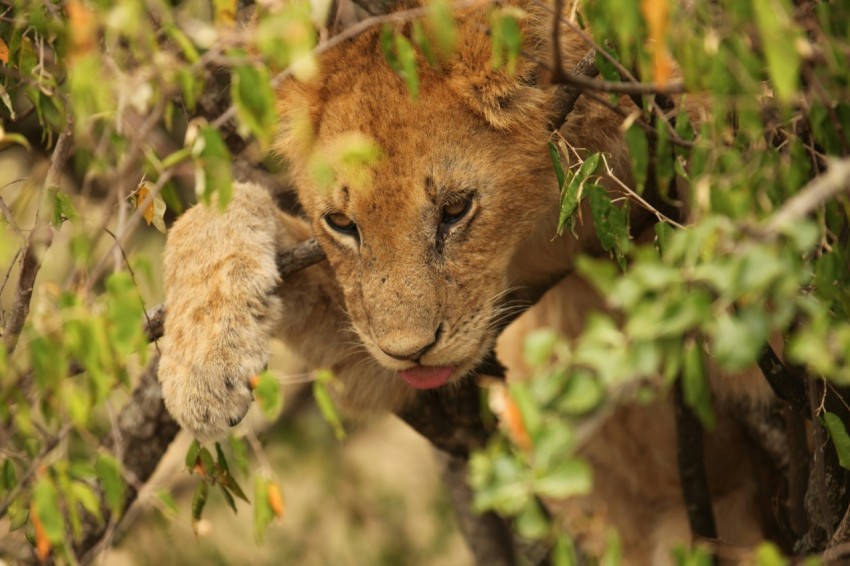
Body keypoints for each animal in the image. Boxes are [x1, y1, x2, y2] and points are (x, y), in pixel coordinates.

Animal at [159, 1, 775, 562]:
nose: (409, 352)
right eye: (340, 224)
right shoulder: (378, 359)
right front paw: (200, 367)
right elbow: (217, 207)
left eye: (455, 210)